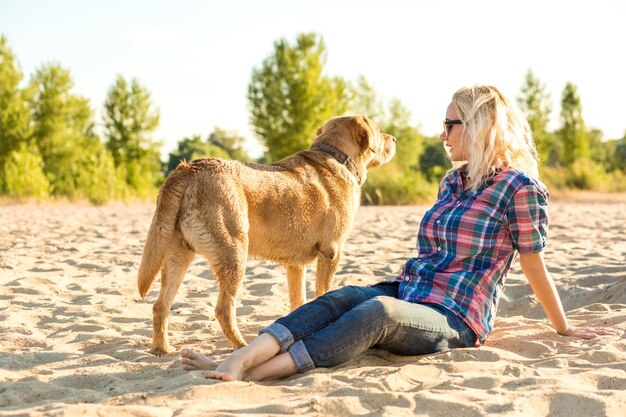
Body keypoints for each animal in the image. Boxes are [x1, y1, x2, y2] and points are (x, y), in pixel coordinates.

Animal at [138, 114, 394, 354]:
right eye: (379, 130)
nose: (393, 139)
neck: (336, 156)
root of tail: (190, 168)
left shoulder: (295, 265)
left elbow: (298, 301)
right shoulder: (331, 252)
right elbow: (323, 293)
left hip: (178, 256)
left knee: (160, 306)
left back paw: (162, 349)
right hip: (234, 255)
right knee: (223, 310)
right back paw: (241, 345)